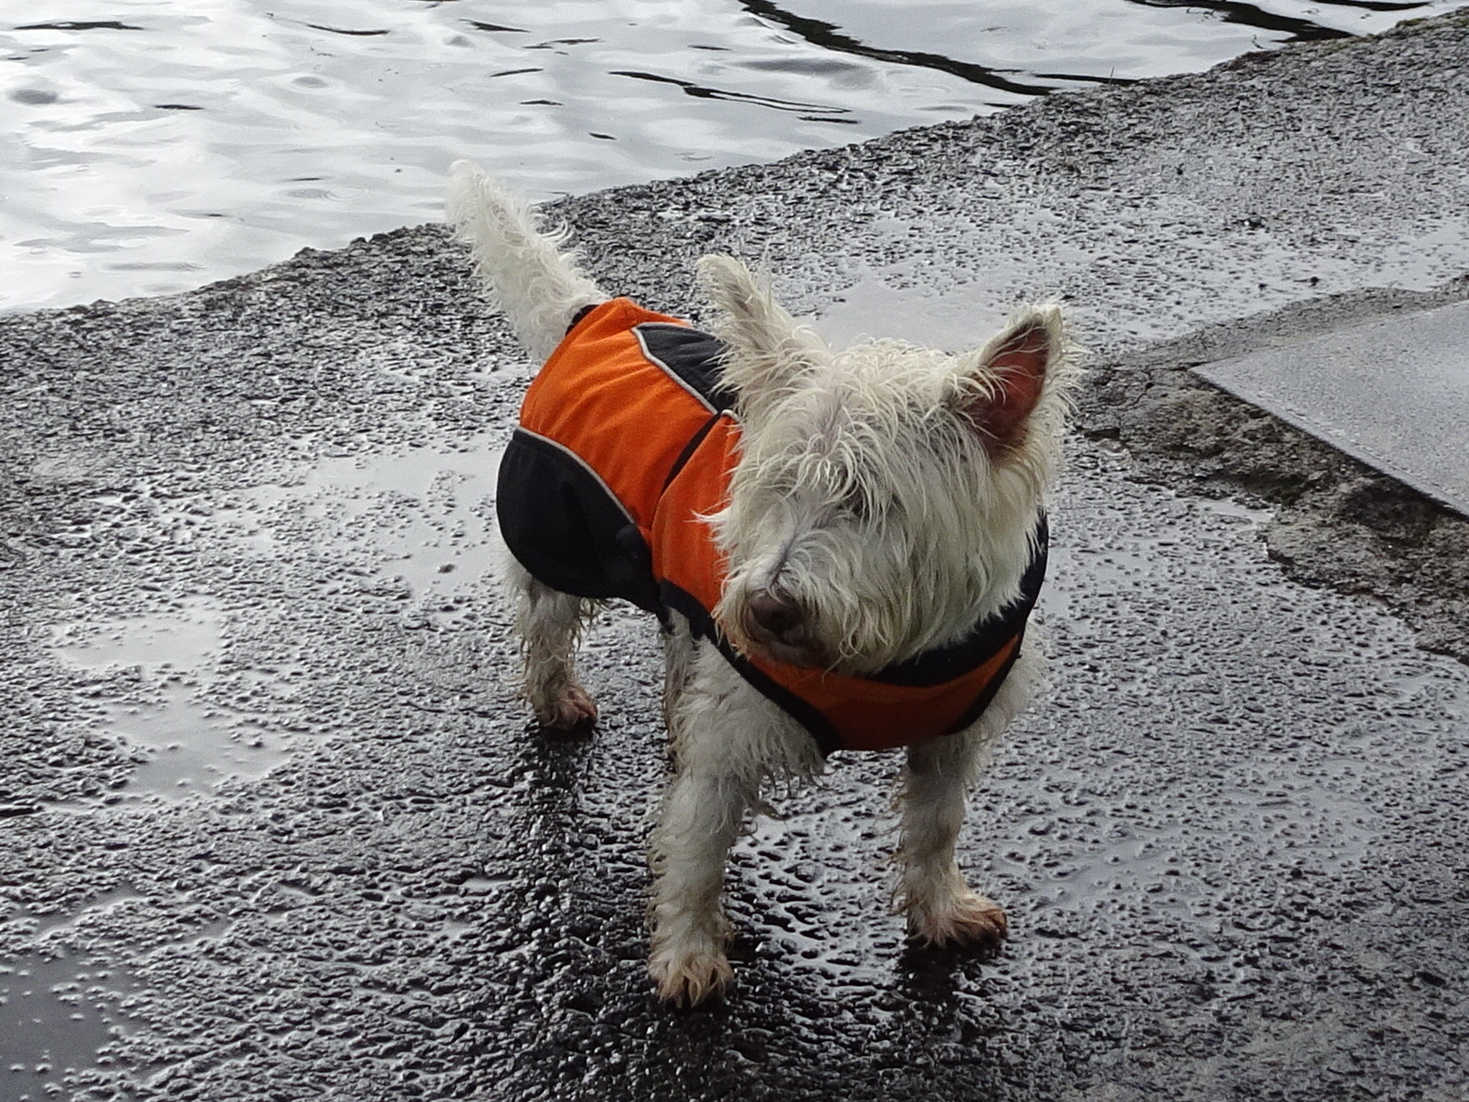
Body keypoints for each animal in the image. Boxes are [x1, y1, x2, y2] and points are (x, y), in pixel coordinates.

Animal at [440, 163, 1075, 1010]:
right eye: (777, 488)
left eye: (868, 503)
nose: (768, 608)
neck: (888, 661)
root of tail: (591, 316)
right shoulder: (733, 726)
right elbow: (697, 847)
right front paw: (687, 954)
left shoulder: (951, 732)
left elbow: (936, 825)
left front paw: (941, 910)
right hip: (554, 537)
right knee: (544, 629)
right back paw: (555, 699)